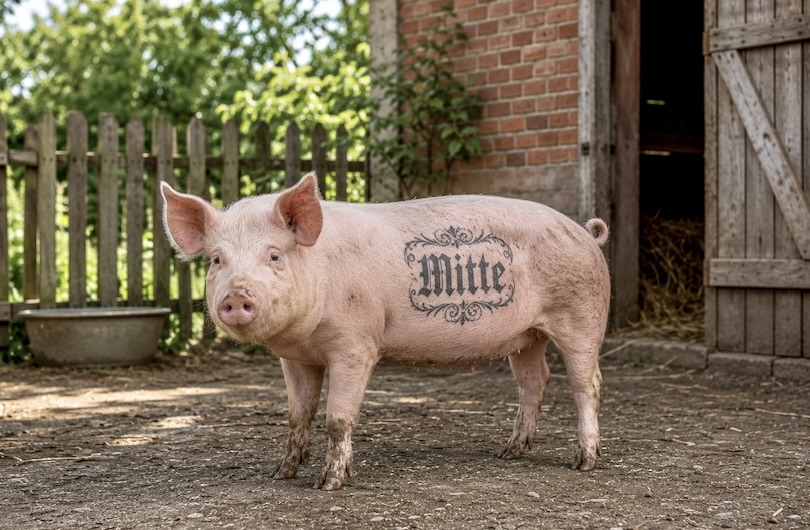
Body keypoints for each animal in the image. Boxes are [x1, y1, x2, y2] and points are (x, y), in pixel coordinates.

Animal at [161, 172, 611, 491]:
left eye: (273, 256)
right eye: (216, 260)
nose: (236, 296)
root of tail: (585, 233)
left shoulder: (356, 345)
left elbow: (337, 418)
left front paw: (329, 484)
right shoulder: (295, 358)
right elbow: (297, 415)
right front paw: (281, 474)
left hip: (581, 314)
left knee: (586, 382)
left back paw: (584, 462)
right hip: (526, 337)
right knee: (535, 380)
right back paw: (509, 453)